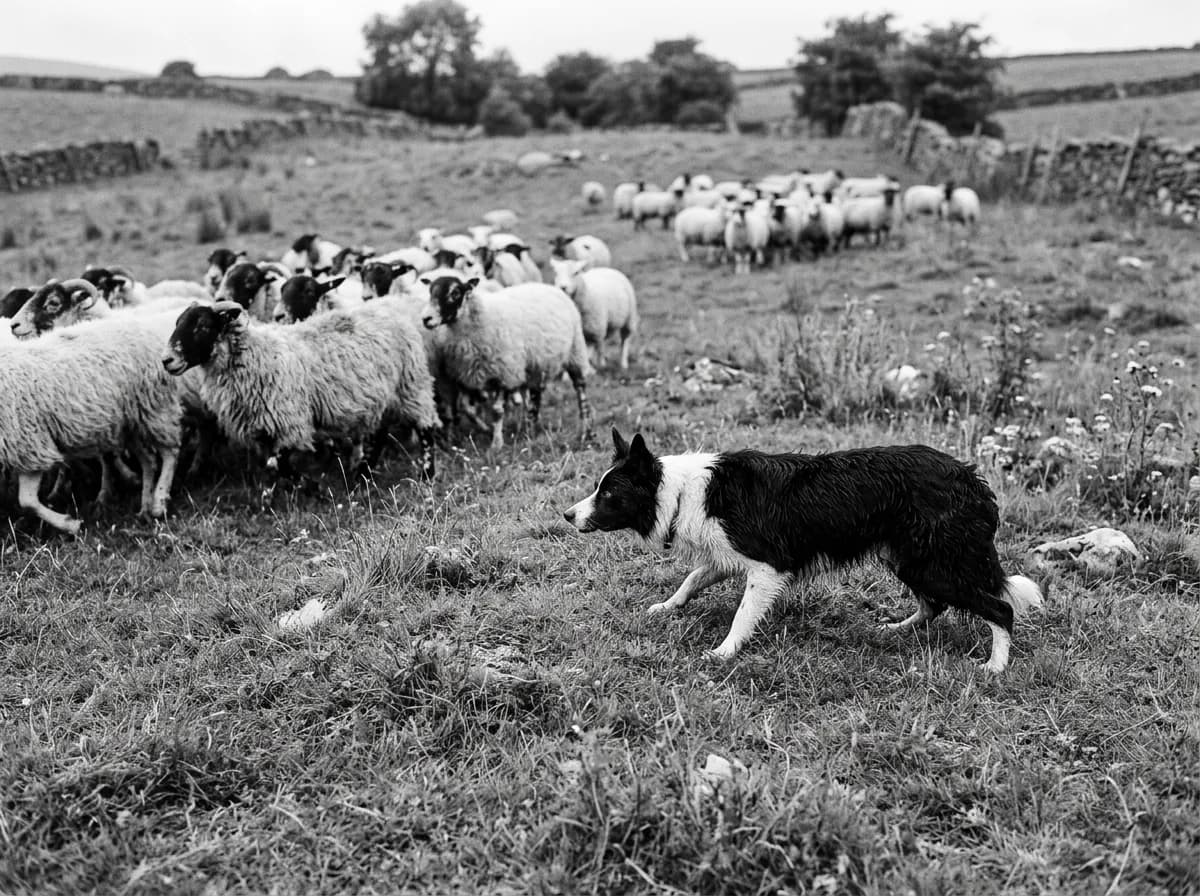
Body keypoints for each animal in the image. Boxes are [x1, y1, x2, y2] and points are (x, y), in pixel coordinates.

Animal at [0, 291, 183, 534]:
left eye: (53, 303)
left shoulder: (30, 445)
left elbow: (27, 501)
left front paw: (70, 524)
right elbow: (27, 501)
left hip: (155, 408)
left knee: (171, 452)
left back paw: (159, 503)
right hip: (129, 423)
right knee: (149, 461)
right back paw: (144, 508)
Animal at [163, 299, 440, 478]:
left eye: (202, 326)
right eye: (177, 323)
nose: (167, 360)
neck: (254, 355)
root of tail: (391, 312)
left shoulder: (290, 422)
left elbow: (276, 465)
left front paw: (307, 488)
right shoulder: (265, 427)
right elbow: (275, 466)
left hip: (411, 385)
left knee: (425, 427)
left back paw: (427, 473)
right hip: (383, 397)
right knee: (380, 432)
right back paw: (363, 475)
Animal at [419, 277, 593, 449]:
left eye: (455, 293)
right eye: (430, 292)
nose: (426, 319)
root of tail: (548, 286)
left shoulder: (504, 373)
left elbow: (497, 411)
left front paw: (496, 444)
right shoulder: (464, 375)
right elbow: (466, 407)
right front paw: (484, 430)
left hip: (575, 352)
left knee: (580, 390)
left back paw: (585, 430)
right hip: (535, 363)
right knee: (535, 395)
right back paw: (528, 428)